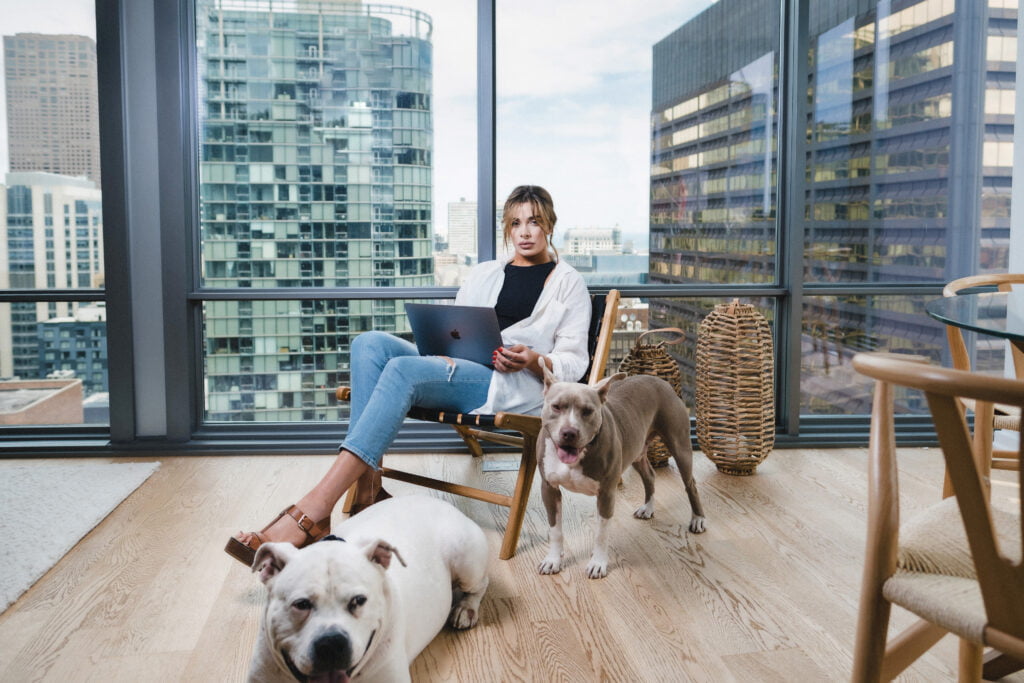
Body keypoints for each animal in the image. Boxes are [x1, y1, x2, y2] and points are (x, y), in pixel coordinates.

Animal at [246, 497, 487, 683]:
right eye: (301, 604)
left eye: (359, 600)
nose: (331, 644)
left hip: (466, 562)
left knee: (481, 583)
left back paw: (466, 608)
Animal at [536, 366, 704, 581]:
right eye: (556, 407)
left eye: (588, 411)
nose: (569, 432)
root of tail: (660, 381)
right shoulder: (549, 489)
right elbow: (555, 529)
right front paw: (553, 560)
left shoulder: (606, 494)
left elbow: (601, 533)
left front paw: (597, 563)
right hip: (636, 451)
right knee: (650, 476)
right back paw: (647, 508)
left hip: (680, 445)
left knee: (691, 484)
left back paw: (698, 519)